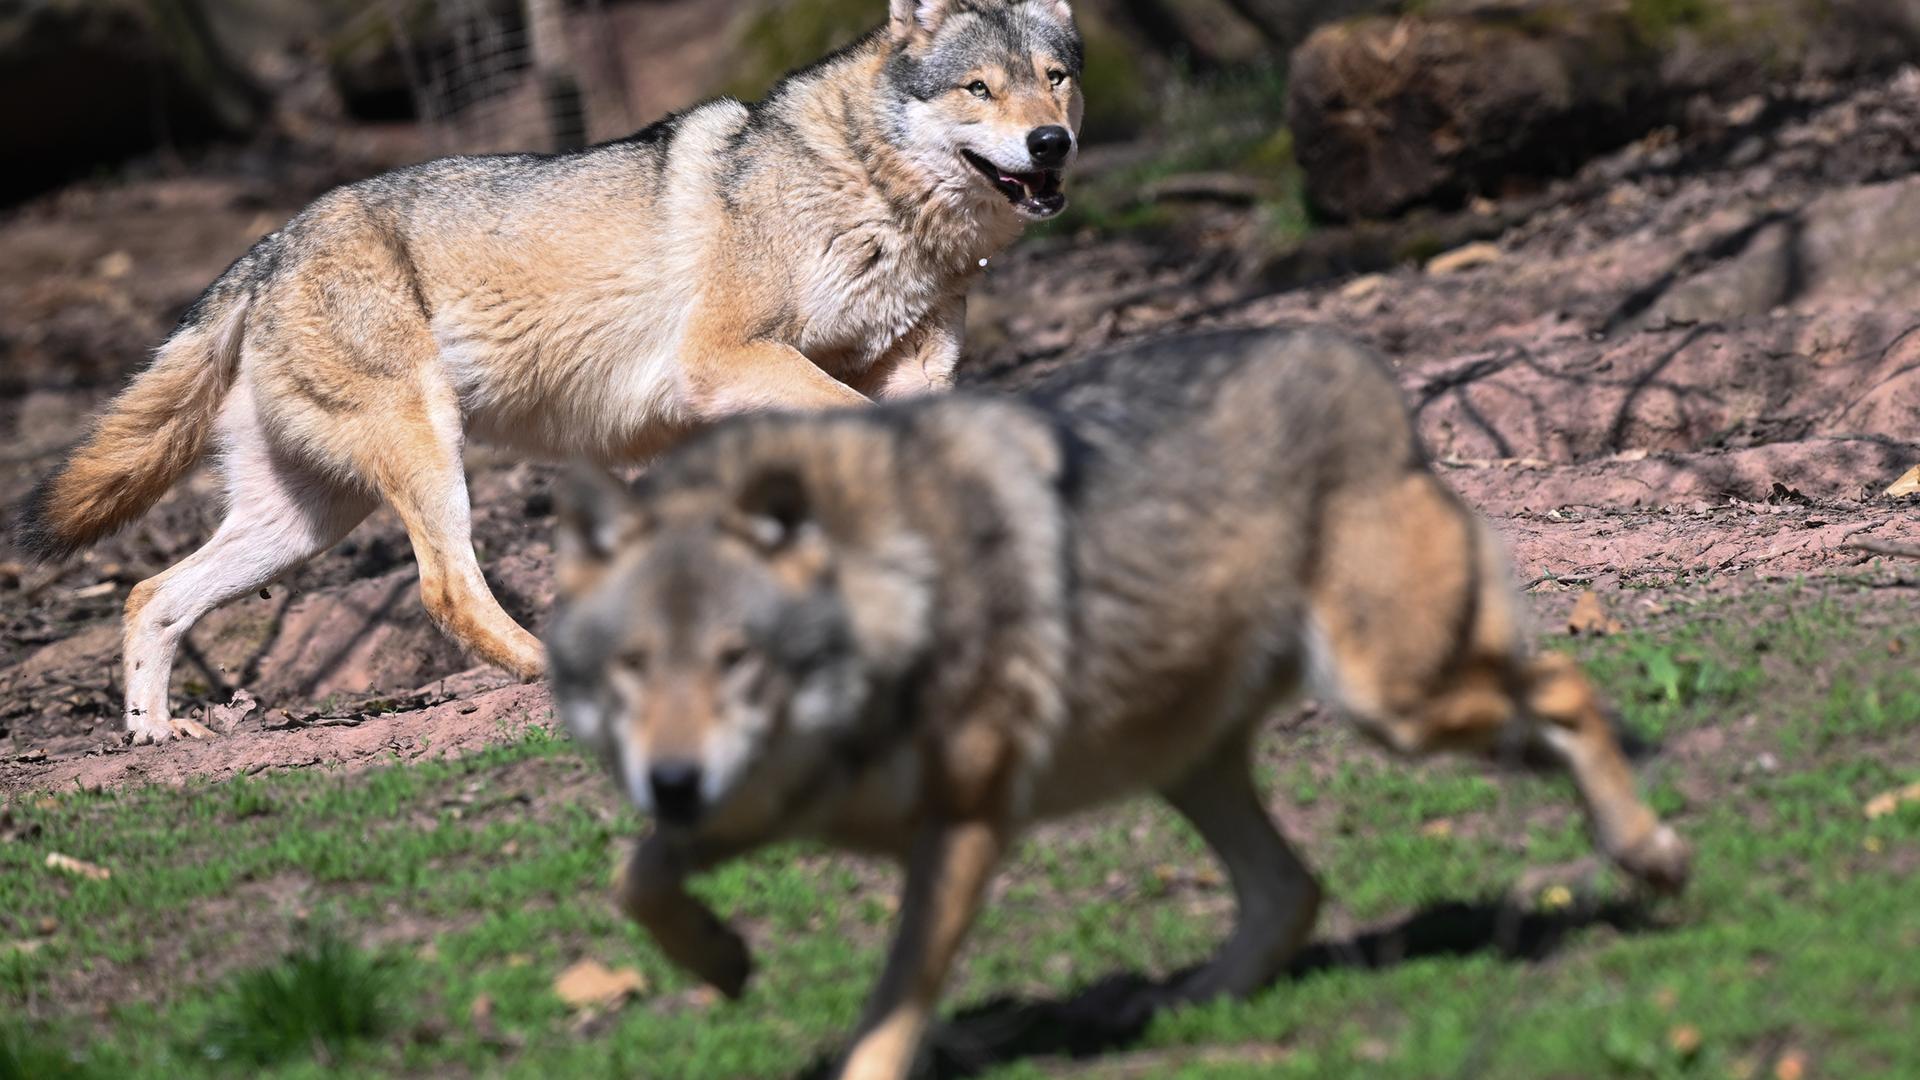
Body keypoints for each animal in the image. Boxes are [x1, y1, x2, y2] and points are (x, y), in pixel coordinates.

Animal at [9, 0, 1084, 743]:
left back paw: (154, 738)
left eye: (1055, 77)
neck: (874, 196)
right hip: (426, 463)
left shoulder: (907, 370)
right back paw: (550, 672)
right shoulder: (723, 363)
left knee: (150, 595)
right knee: (444, 588)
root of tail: (265, 250)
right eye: (979, 89)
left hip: (301, 524)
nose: (1053, 142)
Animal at [545, 327, 1693, 1080]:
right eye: (633, 667)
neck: (891, 598)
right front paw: (723, 960)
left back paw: (1649, 854)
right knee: (1295, 887)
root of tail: (1355, 358)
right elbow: (633, 879)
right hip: (1187, 758)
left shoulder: (963, 825)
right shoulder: (759, 804)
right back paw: (1188, 1009)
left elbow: (887, 1017)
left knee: (1564, 689)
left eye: (737, 659)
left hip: (1389, 702)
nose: (673, 779)